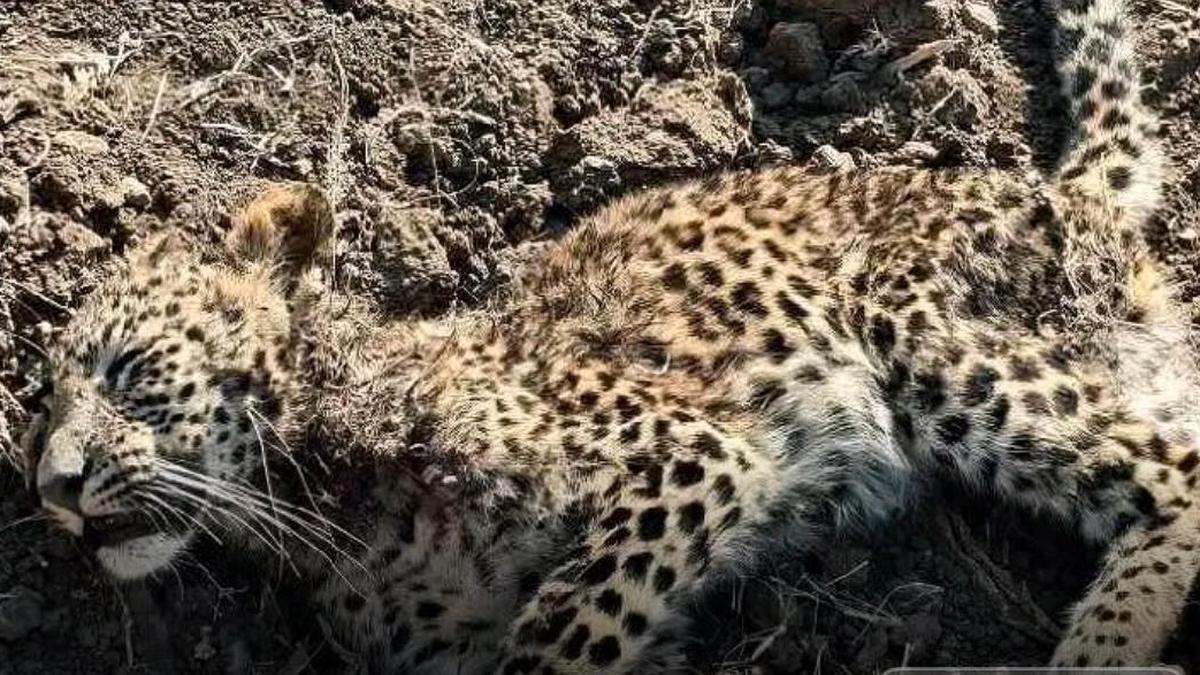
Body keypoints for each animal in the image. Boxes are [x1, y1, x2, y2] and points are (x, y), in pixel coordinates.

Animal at [18, 0, 1200, 671]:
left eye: (129, 371)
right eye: (43, 412)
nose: (52, 490)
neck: (320, 512)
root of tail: (1052, 185)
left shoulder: (687, 456)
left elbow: (563, 631)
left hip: (930, 337)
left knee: (1174, 475)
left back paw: (1099, 651)